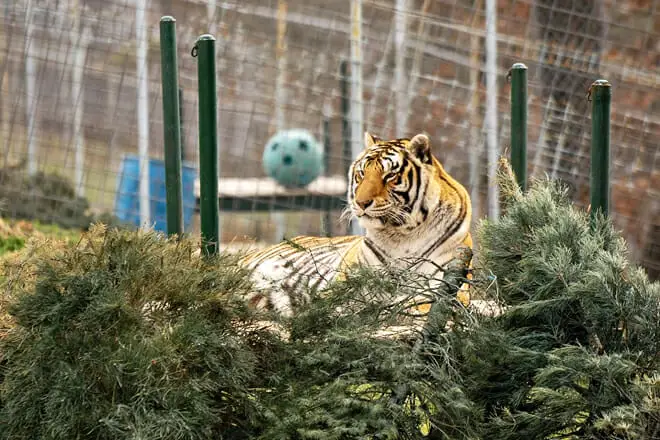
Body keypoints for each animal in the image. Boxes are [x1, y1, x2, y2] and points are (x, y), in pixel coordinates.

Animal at [240, 131, 473, 319]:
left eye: (390, 175)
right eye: (361, 173)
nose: (361, 202)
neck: (402, 234)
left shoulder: (449, 283)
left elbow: (421, 302)